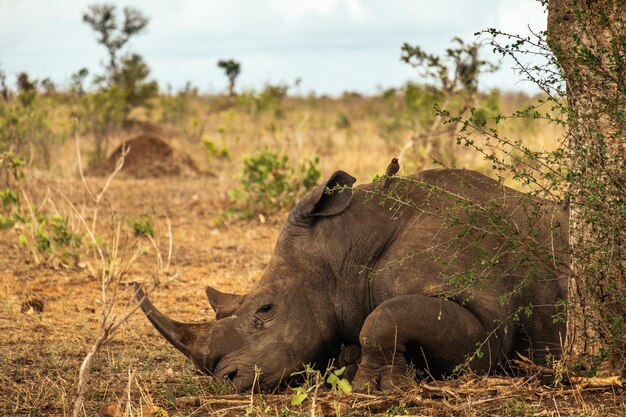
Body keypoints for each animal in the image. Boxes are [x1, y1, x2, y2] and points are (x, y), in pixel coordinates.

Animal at [134, 167, 568, 388]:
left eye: (266, 309)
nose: (226, 379)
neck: (347, 248)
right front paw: (357, 370)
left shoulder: (488, 322)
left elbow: (382, 319)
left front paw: (372, 386)